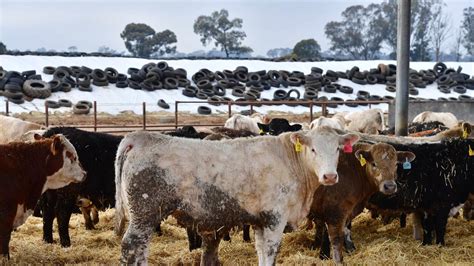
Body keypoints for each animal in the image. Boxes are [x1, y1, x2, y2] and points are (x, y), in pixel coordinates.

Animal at [115, 127, 360, 264]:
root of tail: (139, 137)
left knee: (141, 249)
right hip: (144, 212)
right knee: (130, 247)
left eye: (337, 149)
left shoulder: (261, 220)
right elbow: (270, 251)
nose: (330, 176)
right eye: (313, 149)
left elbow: (261, 251)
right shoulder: (275, 218)